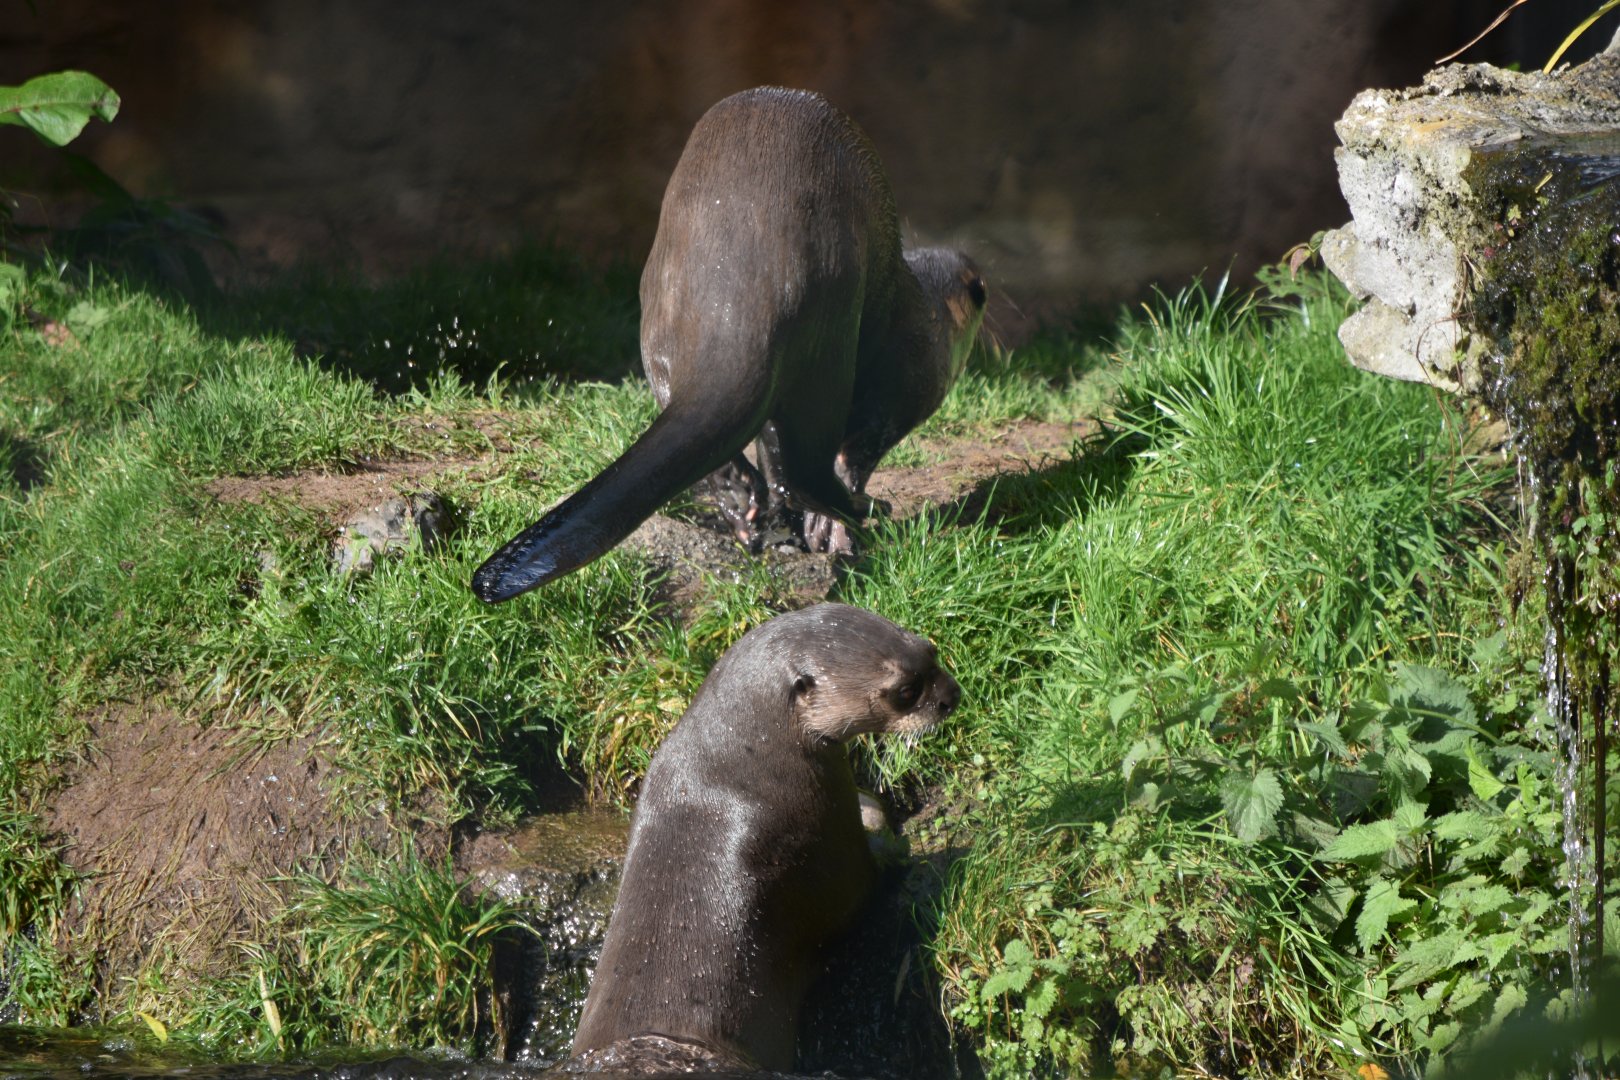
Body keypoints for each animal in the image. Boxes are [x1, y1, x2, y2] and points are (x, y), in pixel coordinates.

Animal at [472, 87, 986, 603]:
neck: (930, 312)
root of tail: (739, 292)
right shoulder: (909, 380)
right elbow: (857, 450)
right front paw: (832, 528)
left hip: (660, 313)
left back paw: (744, 502)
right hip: (830, 323)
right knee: (810, 462)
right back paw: (860, 508)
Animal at [568, 604, 961, 1072]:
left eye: (930, 649)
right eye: (905, 690)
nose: (952, 695)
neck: (738, 765)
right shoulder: (823, 831)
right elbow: (862, 887)